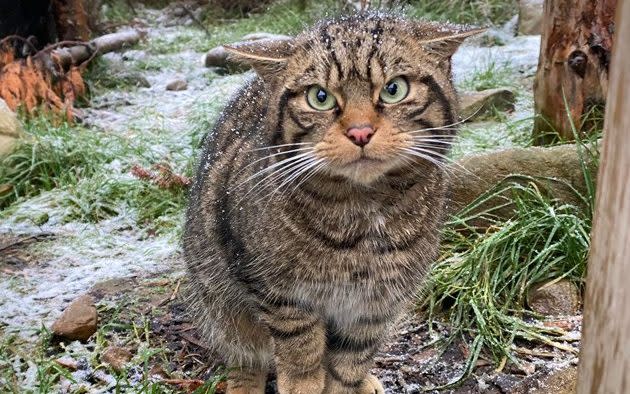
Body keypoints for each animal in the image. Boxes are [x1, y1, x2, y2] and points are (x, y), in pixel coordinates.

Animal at [183, 12, 484, 394]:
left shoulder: (376, 305)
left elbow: (351, 359)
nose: (360, 132)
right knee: (243, 352)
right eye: (320, 97)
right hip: (215, 296)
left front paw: (347, 381)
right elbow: (301, 349)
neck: (365, 213)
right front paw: (303, 382)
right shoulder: (280, 293)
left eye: (394, 89)